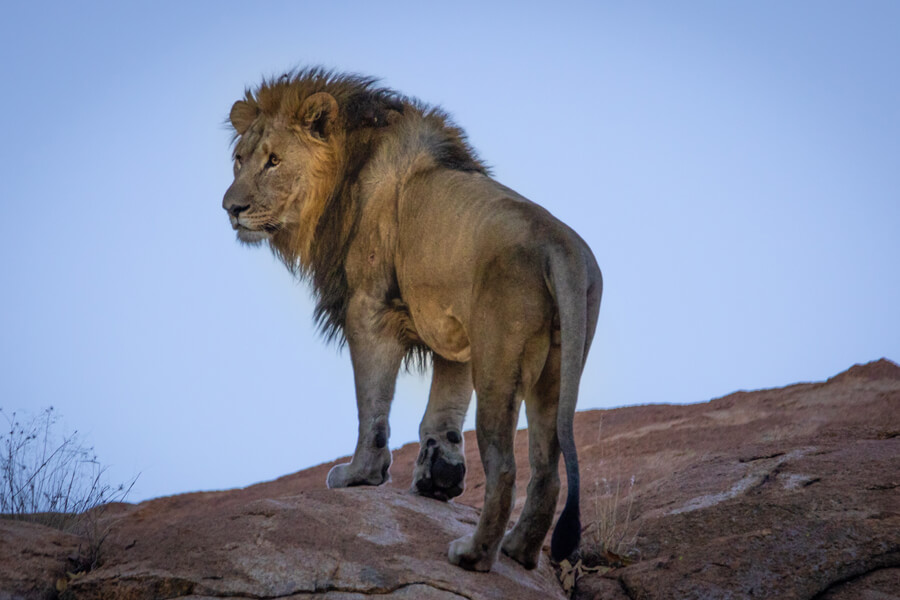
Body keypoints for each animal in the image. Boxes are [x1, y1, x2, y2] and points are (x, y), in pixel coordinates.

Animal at [221, 67, 600, 572]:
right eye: (239, 160)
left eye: (274, 161)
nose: (231, 208)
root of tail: (560, 246)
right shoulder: (455, 332)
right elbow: (442, 413)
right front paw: (438, 479)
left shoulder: (369, 309)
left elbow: (372, 405)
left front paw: (360, 474)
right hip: (555, 371)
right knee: (547, 470)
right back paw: (518, 551)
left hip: (500, 363)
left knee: (505, 468)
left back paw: (474, 555)